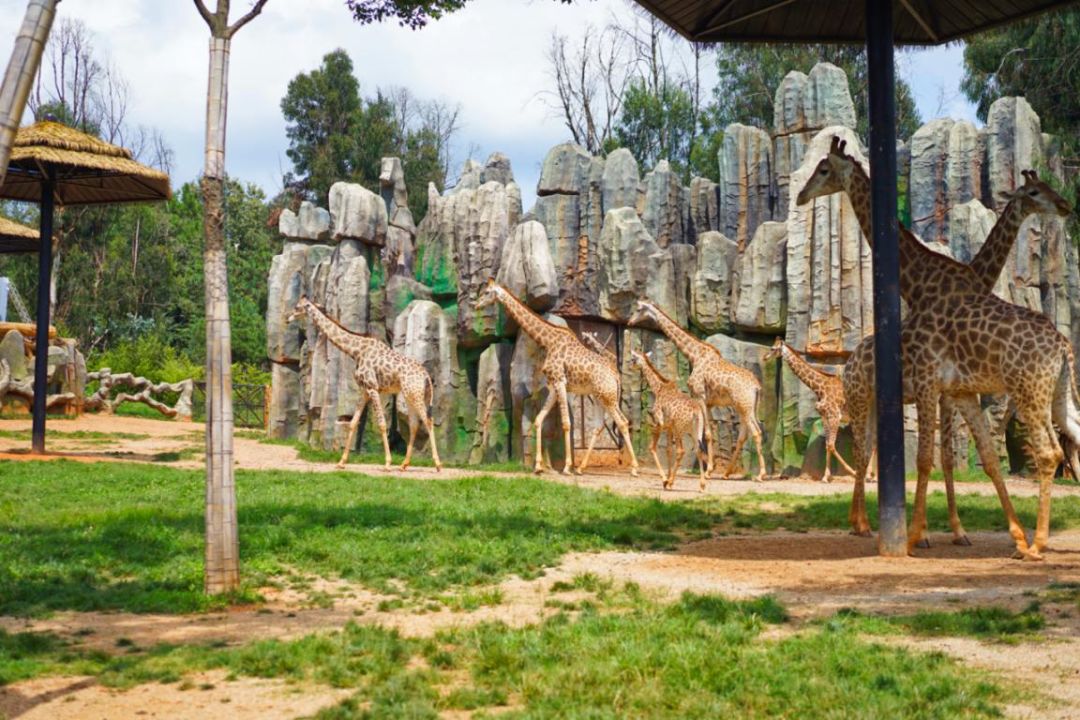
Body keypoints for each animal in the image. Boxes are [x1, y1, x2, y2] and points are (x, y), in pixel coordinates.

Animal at [287, 293, 442, 472]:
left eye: (297, 307)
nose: (287, 319)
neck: (356, 351)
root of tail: (426, 376)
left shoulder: (373, 388)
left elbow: (382, 423)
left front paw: (387, 463)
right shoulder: (364, 390)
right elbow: (353, 423)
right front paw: (341, 462)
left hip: (415, 394)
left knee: (428, 421)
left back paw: (438, 464)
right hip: (411, 395)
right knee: (414, 424)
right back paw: (404, 464)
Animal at [475, 280, 639, 479]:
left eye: (487, 292)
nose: (476, 305)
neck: (548, 341)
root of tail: (616, 376)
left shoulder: (561, 381)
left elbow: (566, 423)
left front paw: (566, 467)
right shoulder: (554, 385)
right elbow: (538, 419)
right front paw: (538, 466)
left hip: (608, 397)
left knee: (622, 422)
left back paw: (634, 468)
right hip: (599, 397)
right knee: (599, 426)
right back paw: (581, 468)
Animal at [630, 347, 712, 490]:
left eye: (633, 359)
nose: (630, 366)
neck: (658, 388)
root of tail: (697, 412)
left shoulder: (659, 422)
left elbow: (652, 447)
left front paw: (665, 480)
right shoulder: (669, 427)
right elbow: (668, 450)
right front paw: (667, 478)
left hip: (680, 430)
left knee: (681, 451)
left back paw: (672, 482)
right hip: (694, 430)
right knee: (698, 450)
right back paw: (701, 485)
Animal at [764, 338, 855, 483]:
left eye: (773, 348)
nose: (764, 357)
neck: (819, 388)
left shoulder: (835, 416)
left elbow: (831, 445)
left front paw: (852, 472)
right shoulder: (825, 416)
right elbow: (827, 445)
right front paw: (825, 477)